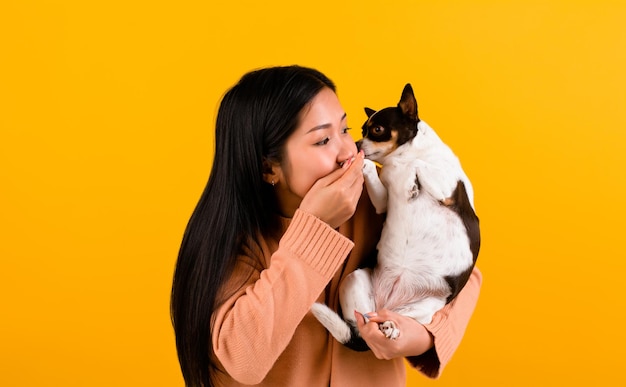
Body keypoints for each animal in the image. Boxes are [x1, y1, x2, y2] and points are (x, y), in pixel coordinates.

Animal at [310, 83, 478, 350]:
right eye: (362, 130)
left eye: (377, 130)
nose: (356, 145)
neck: (396, 159)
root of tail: (386, 305)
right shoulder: (382, 202)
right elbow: (385, 170)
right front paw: (367, 166)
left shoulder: (448, 192)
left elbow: (415, 163)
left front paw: (411, 184)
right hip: (355, 280)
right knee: (367, 320)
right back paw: (384, 326)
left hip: (424, 309)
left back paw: (392, 327)